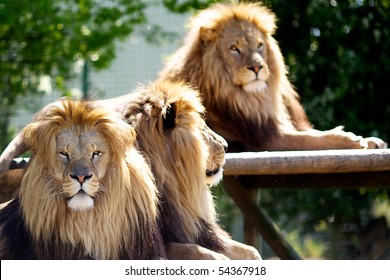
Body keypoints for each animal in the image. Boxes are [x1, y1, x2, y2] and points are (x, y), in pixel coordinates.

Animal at [157, 1, 386, 152]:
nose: (257, 67)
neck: (254, 98)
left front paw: (372, 140)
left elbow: (311, 133)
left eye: (259, 45)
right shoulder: (265, 140)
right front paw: (349, 140)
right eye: (234, 49)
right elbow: (310, 139)